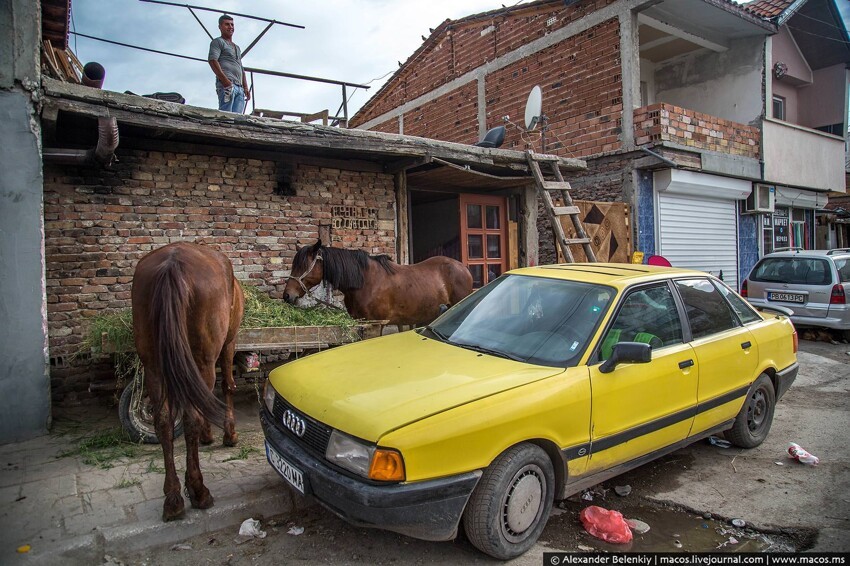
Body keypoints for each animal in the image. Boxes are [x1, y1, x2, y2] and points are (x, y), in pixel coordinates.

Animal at [129, 244, 243, 524]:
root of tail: (173, 265)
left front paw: (209, 434)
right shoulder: (229, 342)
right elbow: (227, 387)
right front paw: (228, 434)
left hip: (155, 365)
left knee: (163, 421)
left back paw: (173, 498)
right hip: (204, 357)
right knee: (192, 415)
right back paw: (198, 490)